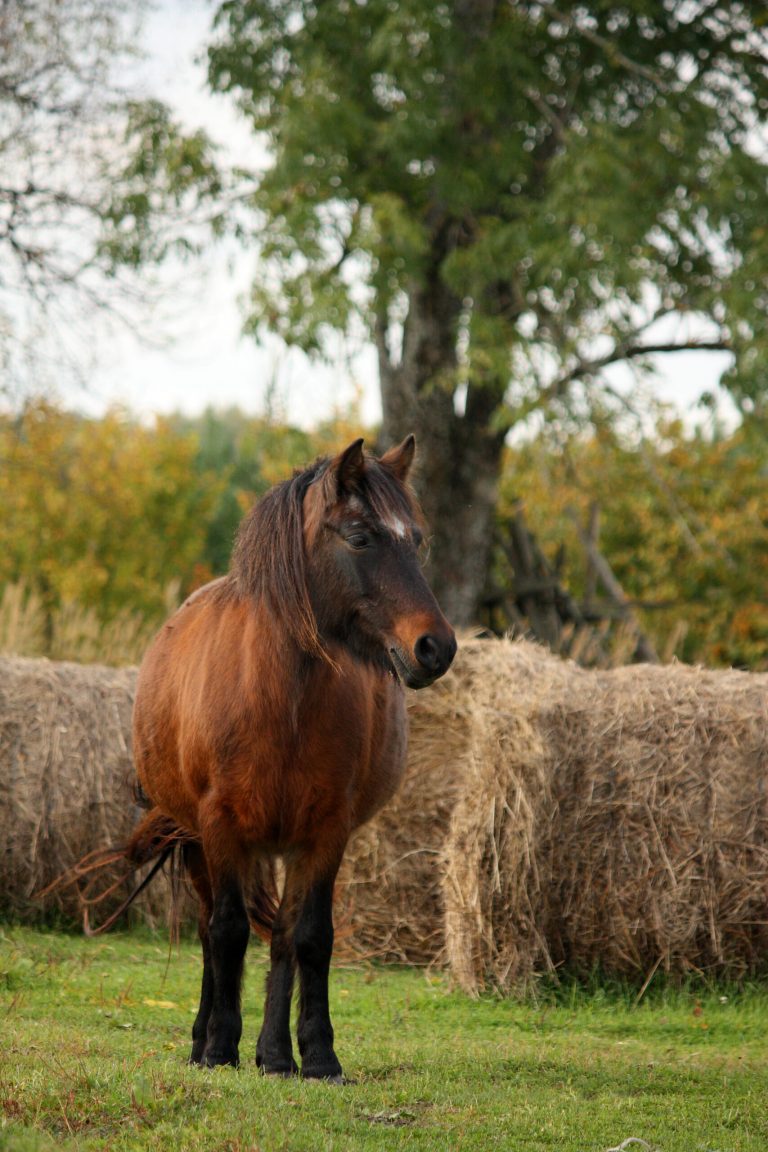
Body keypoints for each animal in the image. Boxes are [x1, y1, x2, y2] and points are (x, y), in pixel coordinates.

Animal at [120, 436, 455, 1081]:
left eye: (418, 540)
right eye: (360, 537)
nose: (436, 647)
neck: (281, 700)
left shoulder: (325, 831)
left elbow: (309, 938)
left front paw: (317, 1055)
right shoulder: (220, 825)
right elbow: (226, 933)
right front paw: (219, 1048)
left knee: (278, 936)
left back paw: (274, 1055)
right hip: (200, 842)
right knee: (210, 932)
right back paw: (205, 1042)